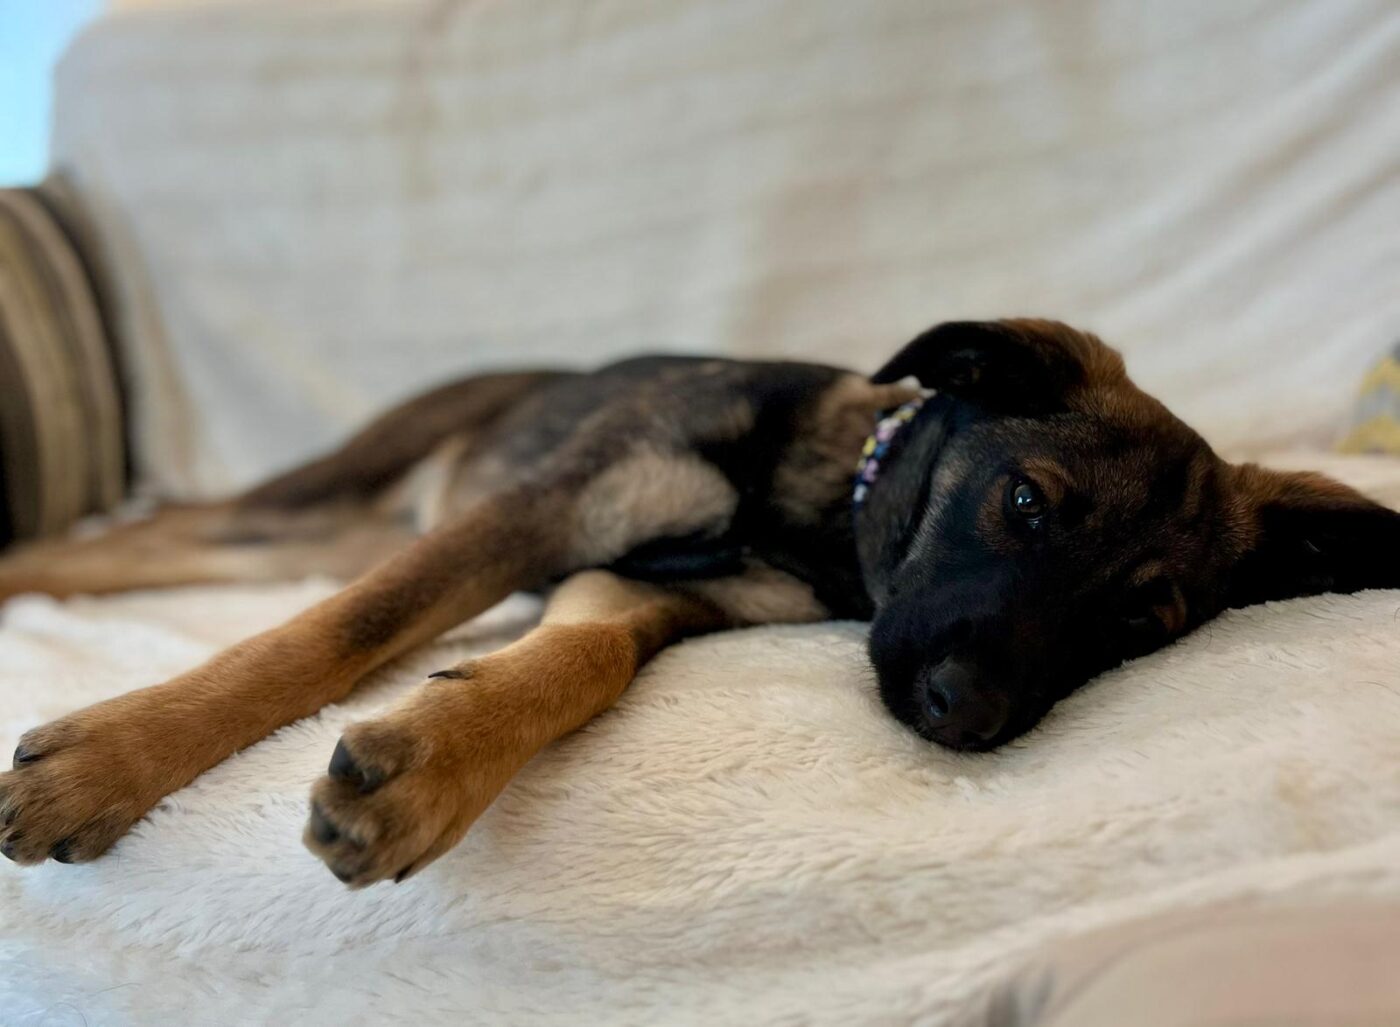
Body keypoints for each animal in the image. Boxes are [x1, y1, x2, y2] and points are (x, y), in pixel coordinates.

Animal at [0, 319, 1396, 886]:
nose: (962, 714)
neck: (813, 504)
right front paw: (109, 763)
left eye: (1137, 627)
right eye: (1025, 503)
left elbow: (580, 665)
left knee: (148, 547)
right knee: (160, 532)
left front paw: (431, 765)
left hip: (330, 525)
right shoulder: (538, 517)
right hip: (334, 493)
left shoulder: (633, 586)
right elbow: (337, 632)